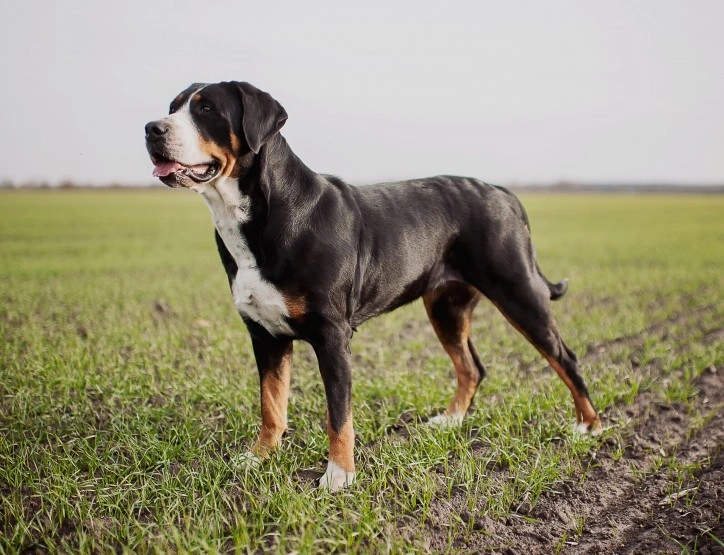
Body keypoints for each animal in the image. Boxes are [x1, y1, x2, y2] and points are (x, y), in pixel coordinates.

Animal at [144, 81, 604, 490]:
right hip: (446, 307)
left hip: (518, 291)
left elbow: (338, 415)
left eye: (206, 109)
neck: (254, 217)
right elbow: (271, 405)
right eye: (173, 106)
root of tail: (502, 192)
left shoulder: (332, 335)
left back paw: (589, 426)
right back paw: (450, 421)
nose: (151, 128)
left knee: (565, 358)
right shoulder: (265, 335)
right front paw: (258, 458)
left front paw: (339, 476)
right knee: (472, 367)